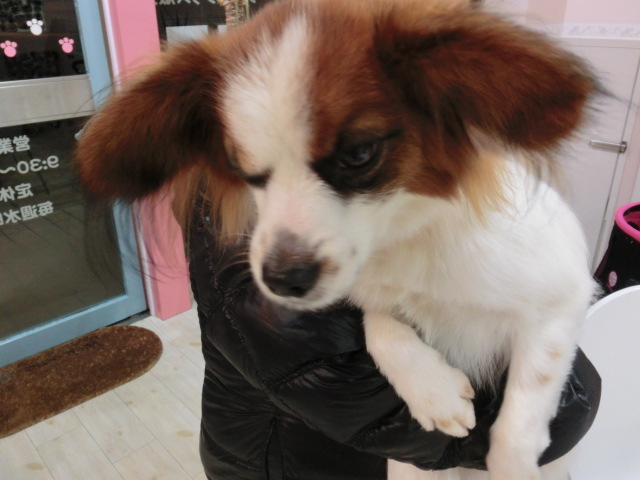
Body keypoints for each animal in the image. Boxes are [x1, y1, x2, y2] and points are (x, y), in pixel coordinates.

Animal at [75, 1, 598, 478]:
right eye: (242, 169)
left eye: (360, 153)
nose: (283, 279)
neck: (404, 241)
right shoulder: (373, 296)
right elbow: (379, 324)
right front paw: (433, 389)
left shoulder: (563, 298)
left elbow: (517, 424)